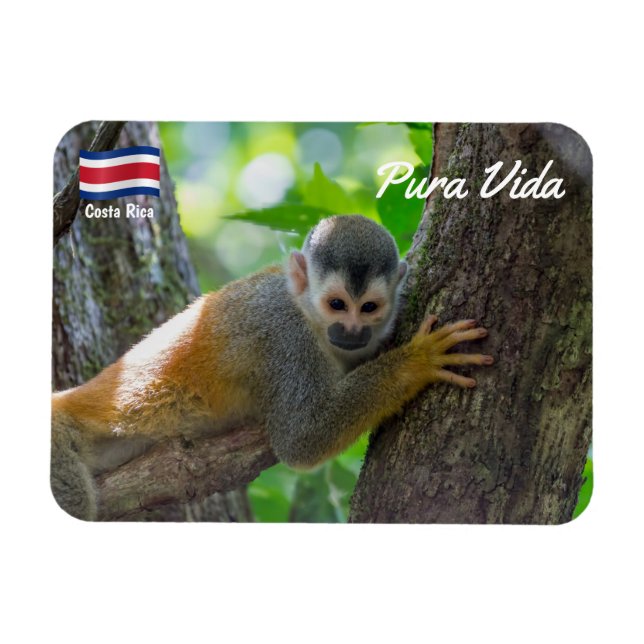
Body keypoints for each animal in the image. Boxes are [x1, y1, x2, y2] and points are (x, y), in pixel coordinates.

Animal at [51, 214, 493, 520]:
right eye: (337, 304)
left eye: (368, 307)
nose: (351, 331)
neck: (306, 313)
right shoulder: (286, 339)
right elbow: (302, 438)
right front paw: (418, 361)